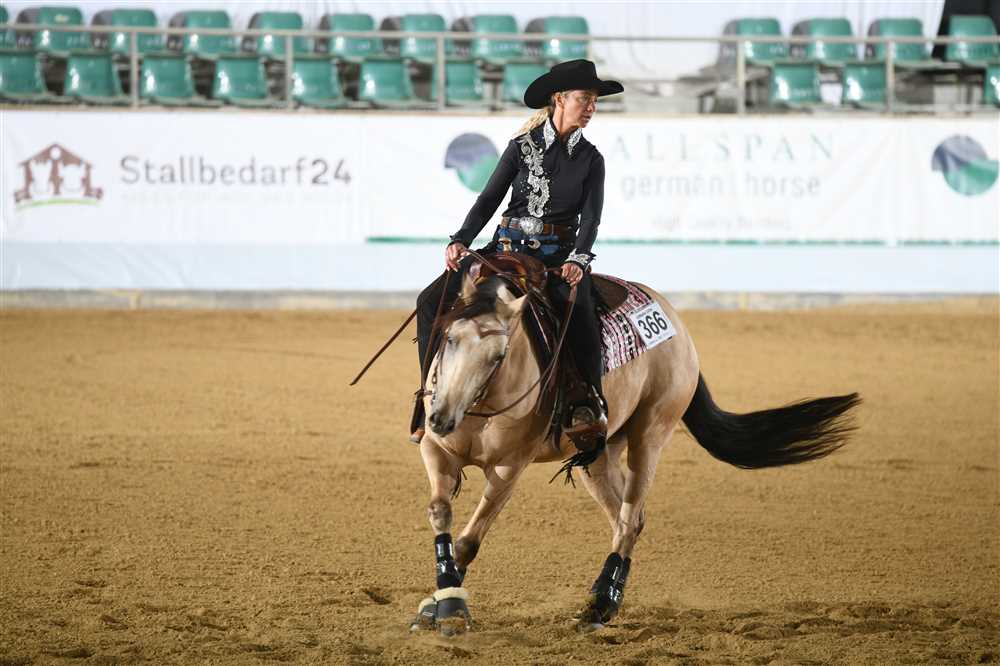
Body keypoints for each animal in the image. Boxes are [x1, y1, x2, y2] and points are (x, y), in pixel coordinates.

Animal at [410, 267, 861, 635]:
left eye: (499, 356)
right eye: (449, 338)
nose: (443, 417)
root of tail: (677, 324)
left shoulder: (509, 466)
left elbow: (469, 540)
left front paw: (450, 609)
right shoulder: (435, 449)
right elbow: (440, 511)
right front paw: (435, 605)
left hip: (651, 435)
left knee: (628, 521)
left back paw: (601, 605)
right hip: (598, 454)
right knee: (629, 518)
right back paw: (600, 599)